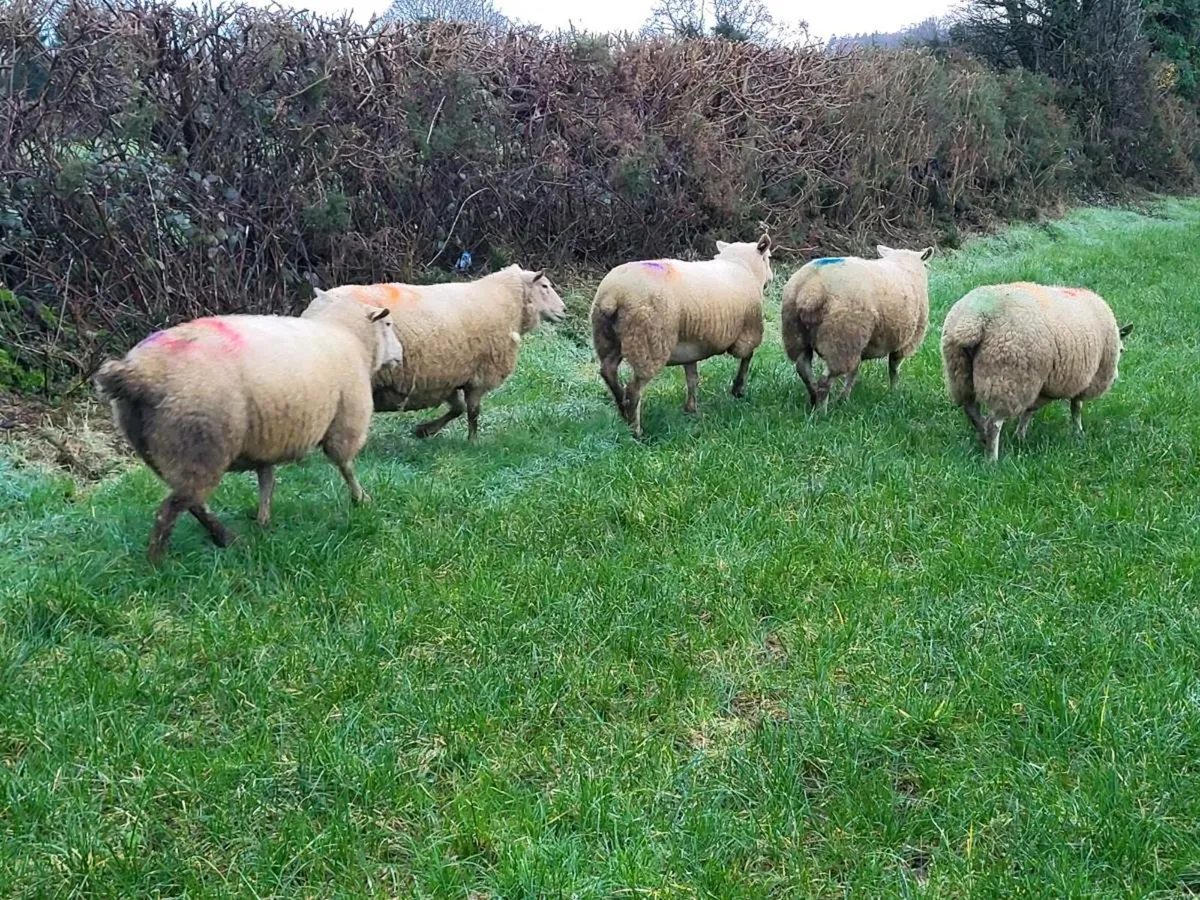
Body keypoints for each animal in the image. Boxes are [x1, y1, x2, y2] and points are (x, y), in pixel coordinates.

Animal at [93, 290, 403, 562]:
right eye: (388, 324)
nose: (401, 354)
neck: (349, 336)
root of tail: (137, 374)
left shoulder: (269, 439)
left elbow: (267, 480)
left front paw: (263, 520)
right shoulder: (346, 421)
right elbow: (346, 466)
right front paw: (361, 500)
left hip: (162, 452)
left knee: (193, 503)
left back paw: (226, 539)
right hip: (199, 446)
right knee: (169, 510)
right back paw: (157, 563)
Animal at [322, 265, 566, 440]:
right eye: (545, 286)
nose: (565, 310)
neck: (506, 300)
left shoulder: (444, 374)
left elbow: (458, 408)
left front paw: (424, 430)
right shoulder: (479, 374)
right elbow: (473, 412)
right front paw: (473, 442)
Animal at [590, 235, 773, 438]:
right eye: (768, 257)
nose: (772, 278)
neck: (741, 264)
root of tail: (613, 295)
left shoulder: (690, 347)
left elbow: (692, 378)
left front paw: (691, 409)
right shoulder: (747, 334)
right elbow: (747, 358)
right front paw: (738, 389)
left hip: (607, 338)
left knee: (608, 371)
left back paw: (622, 408)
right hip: (649, 343)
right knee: (634, 389)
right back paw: (636, 431)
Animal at [780, 245, 933, 408]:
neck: (905, 265)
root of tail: (811, 290)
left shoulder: (860, 346)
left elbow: (853, 372)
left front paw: (844, 398)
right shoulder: (904, 343)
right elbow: (894, 369)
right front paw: (894, 392)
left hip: (795, 332)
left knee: (803, 368)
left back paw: (813, 396)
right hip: (841, 338)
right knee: (825, 380)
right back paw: (821, 409)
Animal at [940, 282, 1133, 461]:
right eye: (1121, 350)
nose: (1116, 378)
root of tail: (977, 318)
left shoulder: (1040, 384)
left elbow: (1029, 411)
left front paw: (1020, 436)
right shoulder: (1083, 381)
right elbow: (1076, 407)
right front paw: (1078, 433)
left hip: (960, 371)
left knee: (971, 409)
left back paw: (982, 436)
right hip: (1007, 377)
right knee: (993, 423)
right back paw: (992, 459)